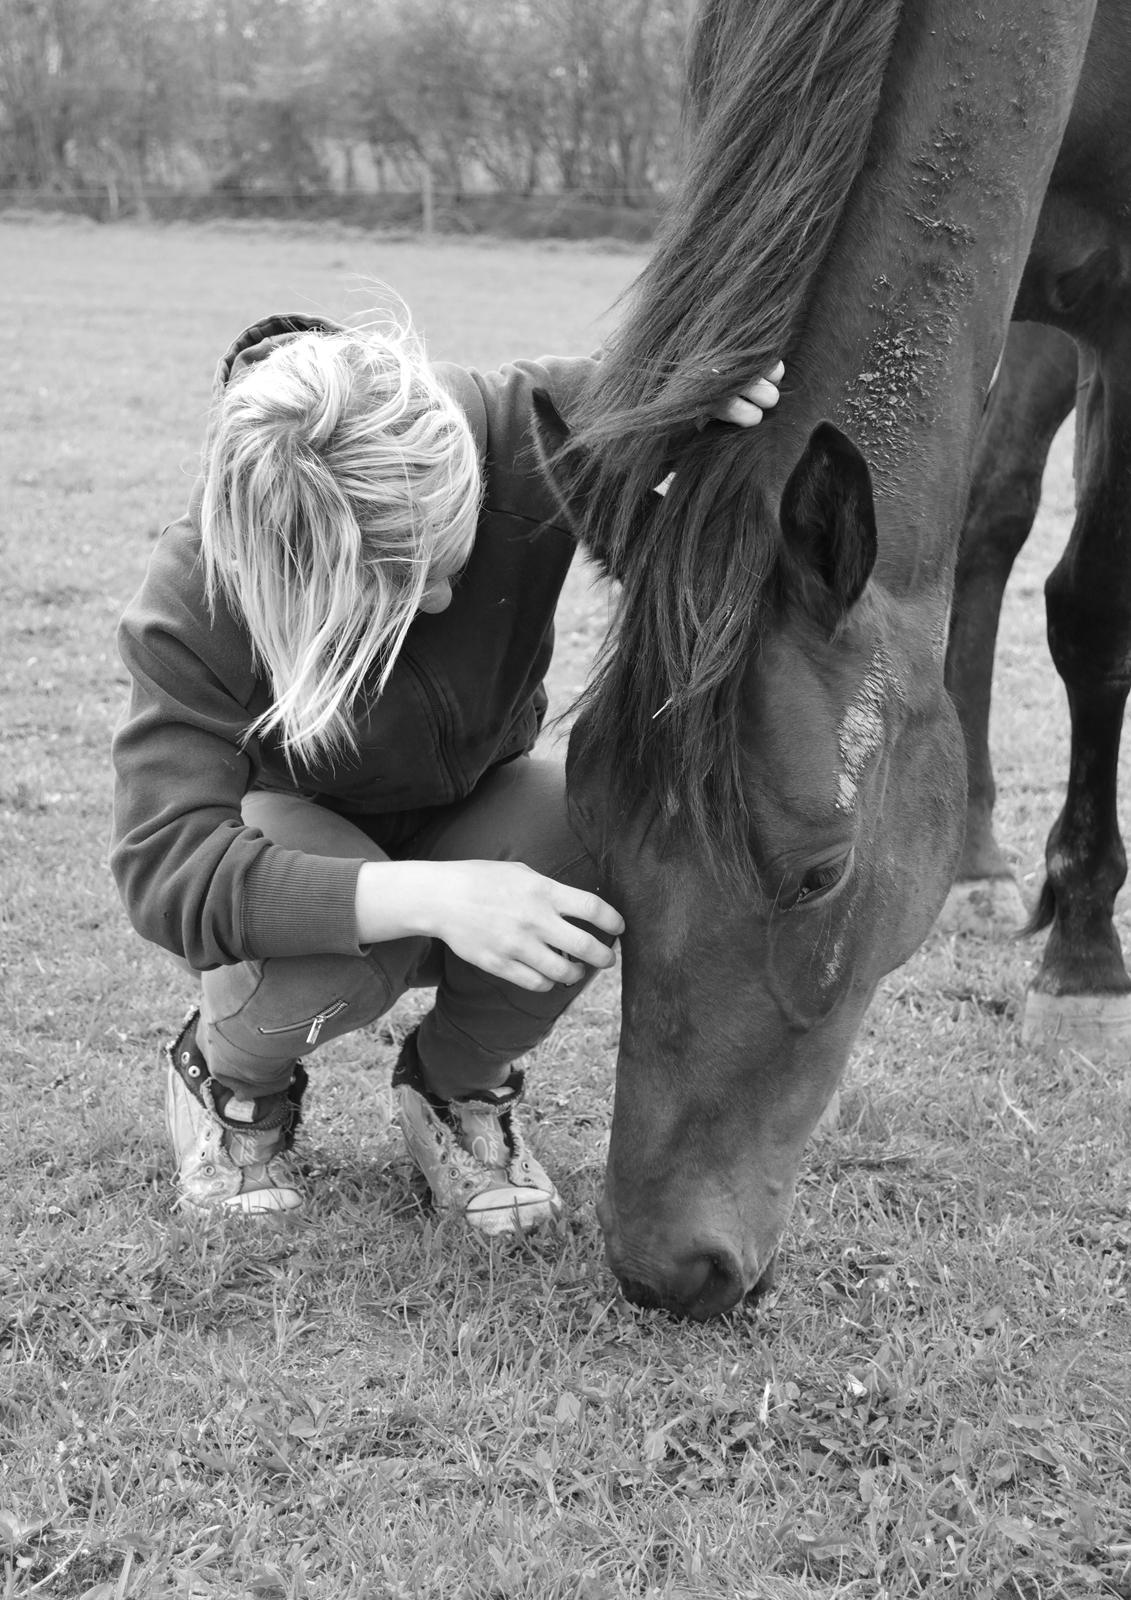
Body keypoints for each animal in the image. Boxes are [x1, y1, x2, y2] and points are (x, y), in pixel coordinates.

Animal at [537, 0, 1126, 1324]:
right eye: (593, 837)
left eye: (819, 876)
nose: (666, 1268)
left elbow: (1096, 614)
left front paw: (1083, 961)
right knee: (991, 520)